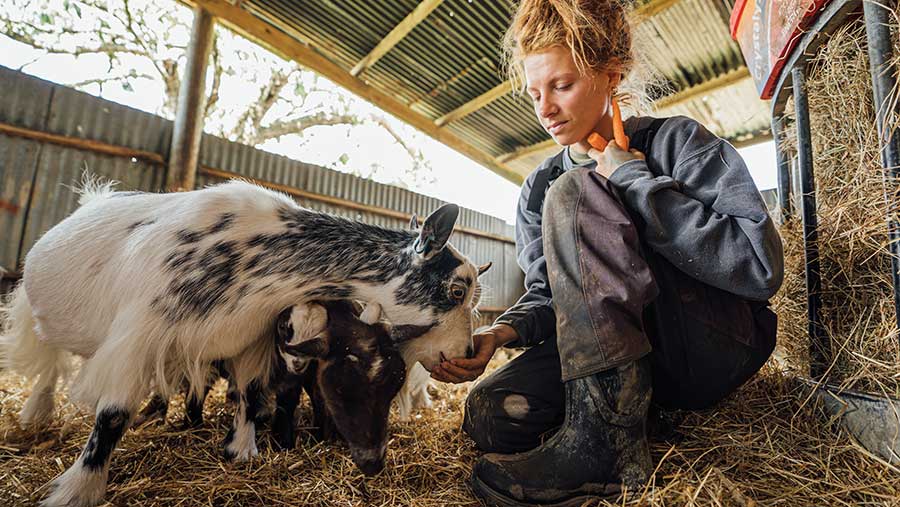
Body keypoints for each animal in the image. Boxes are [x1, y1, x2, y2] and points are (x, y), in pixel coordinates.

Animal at [0, 180, 488, 507]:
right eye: (456, 290)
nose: (467, 354)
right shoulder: (137, 338)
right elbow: (112, 416)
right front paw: (78, 489)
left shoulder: (252, 340)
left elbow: (250, 396)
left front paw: (241, 450)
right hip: (35, 311)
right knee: (48, 364)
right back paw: (38, 409)